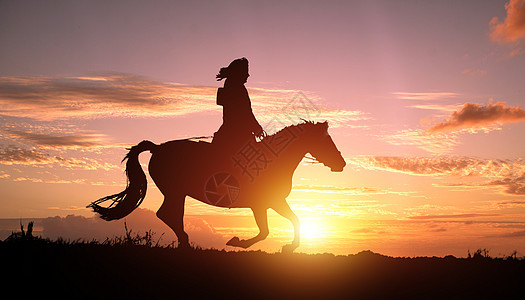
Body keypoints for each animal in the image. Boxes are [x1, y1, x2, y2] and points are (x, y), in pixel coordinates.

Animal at [88, 120, 346, 252]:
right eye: (326, 140)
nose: (341, 164)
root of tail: (158, 148)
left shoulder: (271, 202)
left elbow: (291, 221)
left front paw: (289, 247)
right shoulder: (264, 203)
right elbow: (268, 230)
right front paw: (240, 242)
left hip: (176, 192)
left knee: (169, 214)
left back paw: (185, 242)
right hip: (175, 191)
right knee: (168, 214)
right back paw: (186, 243)